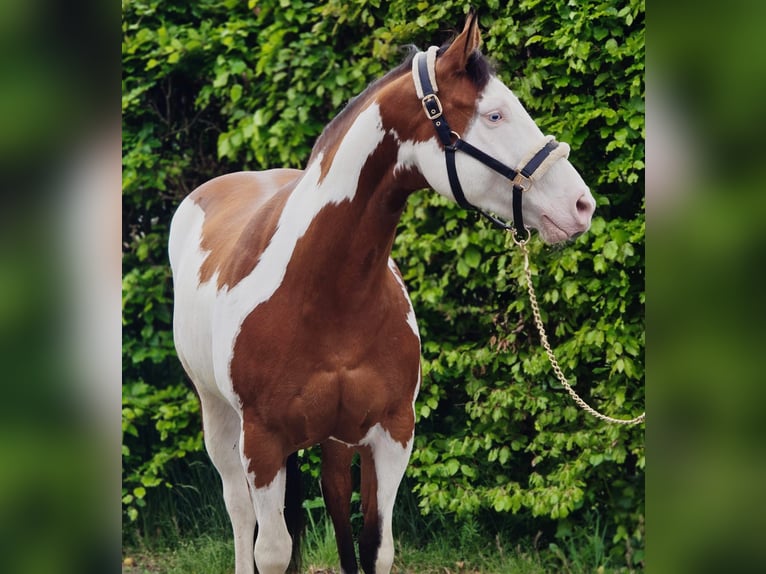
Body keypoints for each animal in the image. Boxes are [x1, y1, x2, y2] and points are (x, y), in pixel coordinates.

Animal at [169, 12, 595, 574]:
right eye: (495, 115)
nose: (581, 205)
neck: (325, 295)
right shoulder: (262, 444)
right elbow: (274, 550)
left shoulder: (391, 435)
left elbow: (375, 544)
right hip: (219, 419)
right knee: (239, 514)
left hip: (333, 438)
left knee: (332, 499)